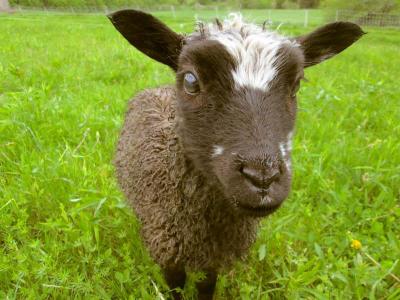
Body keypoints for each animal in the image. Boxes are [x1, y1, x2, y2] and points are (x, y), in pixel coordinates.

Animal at [108, 10, 364, 298]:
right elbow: (175, 287)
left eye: (297, 84)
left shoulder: (215, 257)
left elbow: (206, 286)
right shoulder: (168, 248)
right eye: (190, 80)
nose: (262, 178)